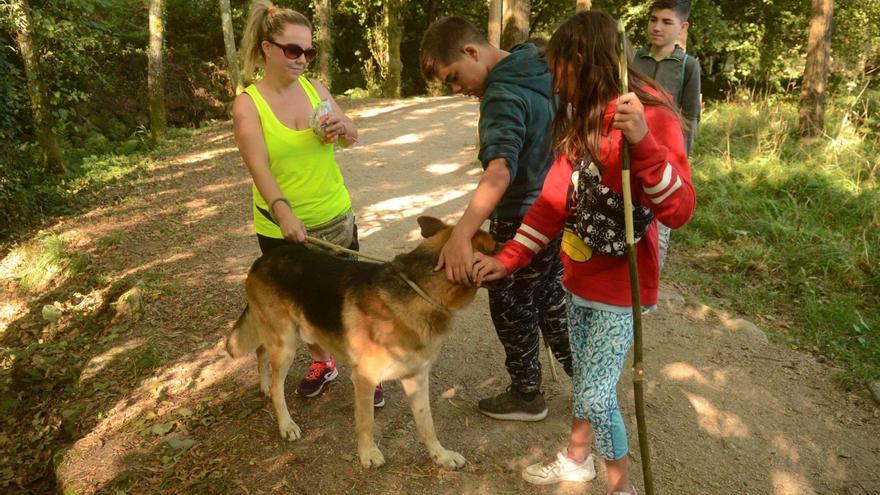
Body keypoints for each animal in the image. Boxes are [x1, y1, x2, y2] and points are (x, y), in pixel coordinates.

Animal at [227, 216, 496, 468]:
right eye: (494, 247)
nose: (508, 252)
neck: (420, 290)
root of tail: (263, 259)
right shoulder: (365, 378)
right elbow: (366, 422)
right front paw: (368, 454)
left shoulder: (417, 378)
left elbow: (426, 423)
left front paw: (440, 455)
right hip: (286, 344)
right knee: (277, 386)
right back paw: (286, 423)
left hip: (286, 336)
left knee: (260, 351)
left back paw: (264, 383)